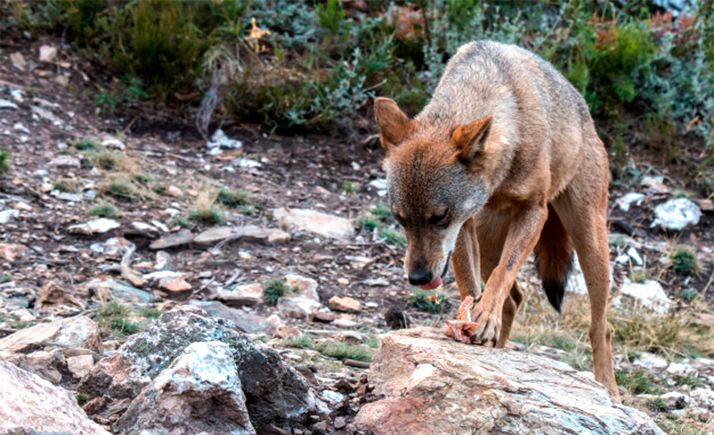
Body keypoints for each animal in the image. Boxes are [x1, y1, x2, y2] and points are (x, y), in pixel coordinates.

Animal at [373, 40, 619, 399]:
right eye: (400, 218)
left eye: (439, 217)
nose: (418, 278)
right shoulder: (465, 225)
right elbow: (470, 284)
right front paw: (472, 321)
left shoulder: (534, 212)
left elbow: (505, 272)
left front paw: (484, 317)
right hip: (489, 239)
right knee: (514, 299)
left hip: (590, 242)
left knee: (601, 326)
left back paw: (609, 389)